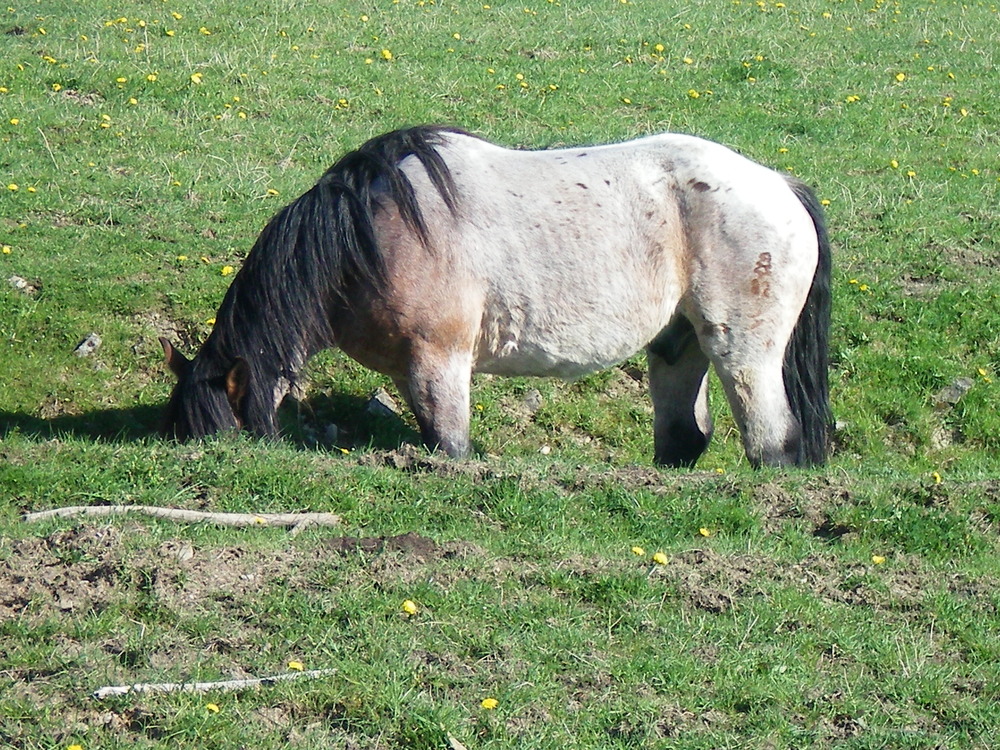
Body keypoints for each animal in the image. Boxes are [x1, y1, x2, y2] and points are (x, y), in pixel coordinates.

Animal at [166, 126, 836, 468]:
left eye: (223, 434)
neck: (372, 232)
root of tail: (780, 186)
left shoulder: (438, 361)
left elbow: (451, 446)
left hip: (742, 353)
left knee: (773, 441)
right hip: (678, 345)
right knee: (683, 438)